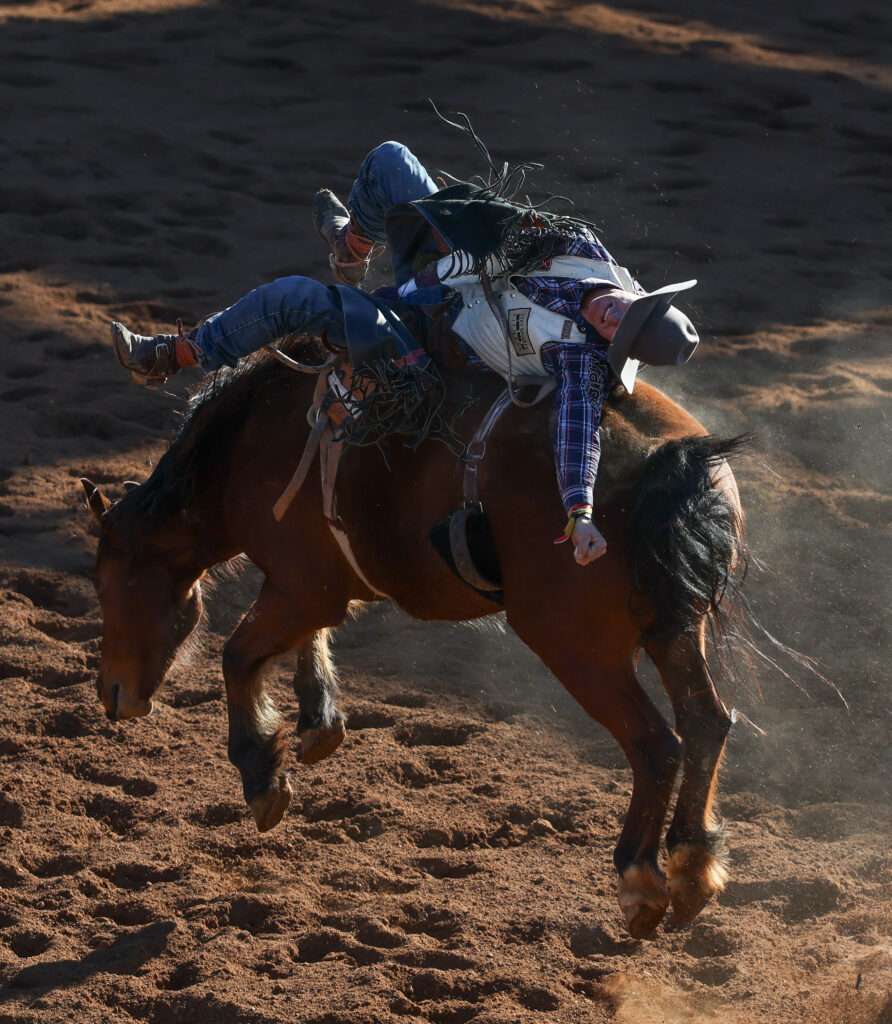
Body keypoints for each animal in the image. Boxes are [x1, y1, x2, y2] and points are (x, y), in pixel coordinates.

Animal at [82, 340, 750, 940]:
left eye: (103, 583)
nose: (112, 695)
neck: (247, 442)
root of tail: (674, 457)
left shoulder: (299, 587)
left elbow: (238, 655)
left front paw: (262, 775)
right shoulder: (315, 590)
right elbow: (305, 643)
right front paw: (318, 722)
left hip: (578, 647)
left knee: (655, 744)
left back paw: (640, 882)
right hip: (674, 629)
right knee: (706, 723)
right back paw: (693, 865)